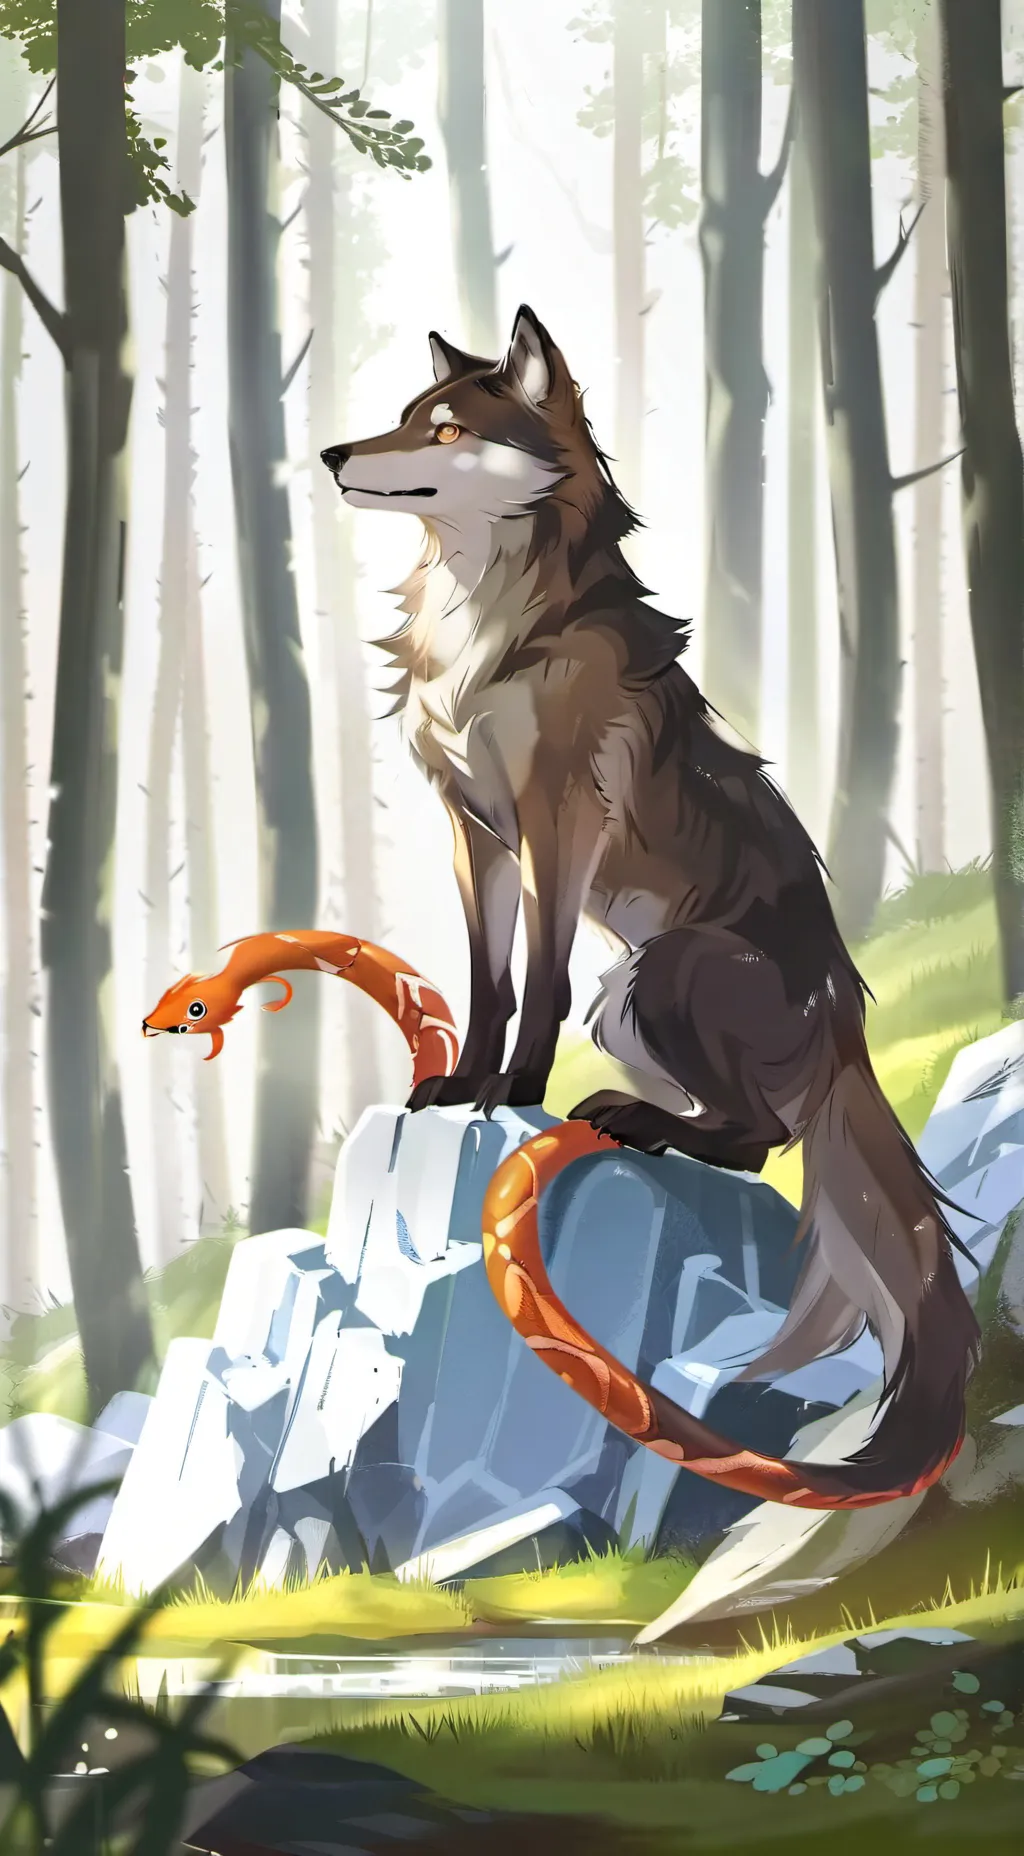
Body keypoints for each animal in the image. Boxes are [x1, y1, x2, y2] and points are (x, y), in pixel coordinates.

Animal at [321, 304, 978, 1504]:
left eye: (444, 428)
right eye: (403, 417)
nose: (334, 455)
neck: (482, 617)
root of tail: (846, 1021)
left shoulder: (553, 824)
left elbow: (535, 981)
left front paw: (517, 1089)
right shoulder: (472, 831)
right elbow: (487, 981)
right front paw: (464, 1086)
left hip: (655, 972)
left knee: (760, 1138)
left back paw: (629, 1120)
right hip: (632, 999)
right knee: (749, 1137)